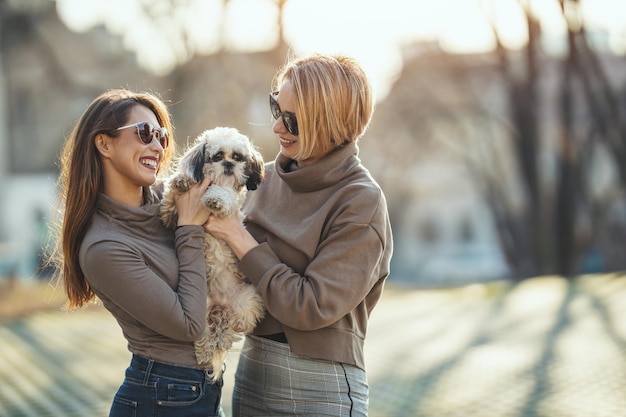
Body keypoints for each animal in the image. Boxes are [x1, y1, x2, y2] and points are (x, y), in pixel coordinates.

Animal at [160, 125, 264, 378]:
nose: (228, 164)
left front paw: (215, 197)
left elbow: (225, 194)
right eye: (217, 156)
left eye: (238, 157)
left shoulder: (232, 205)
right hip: (199, 310)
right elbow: (170, 205)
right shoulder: (171, 219)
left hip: (247, 301)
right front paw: (181, 181)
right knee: (206, 333)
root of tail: (220, 305)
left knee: (230, 328)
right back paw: (205, 348)